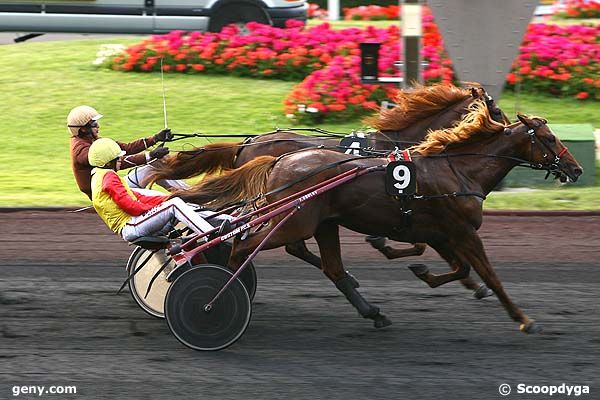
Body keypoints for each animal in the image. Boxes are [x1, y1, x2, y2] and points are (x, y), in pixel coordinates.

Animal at [173, 101, 580, 332]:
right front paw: (523, 319)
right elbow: (490, 276)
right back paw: (219, 295)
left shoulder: (442, 231)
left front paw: (425, 272)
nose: (575, 170)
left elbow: (459, 268)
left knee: (329, 267)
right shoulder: (462, 231)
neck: (458, 169)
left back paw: (372, 312)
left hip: (319, 223)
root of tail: (273, 158)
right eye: (549, 137)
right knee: (244, 245)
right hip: (293, 221)